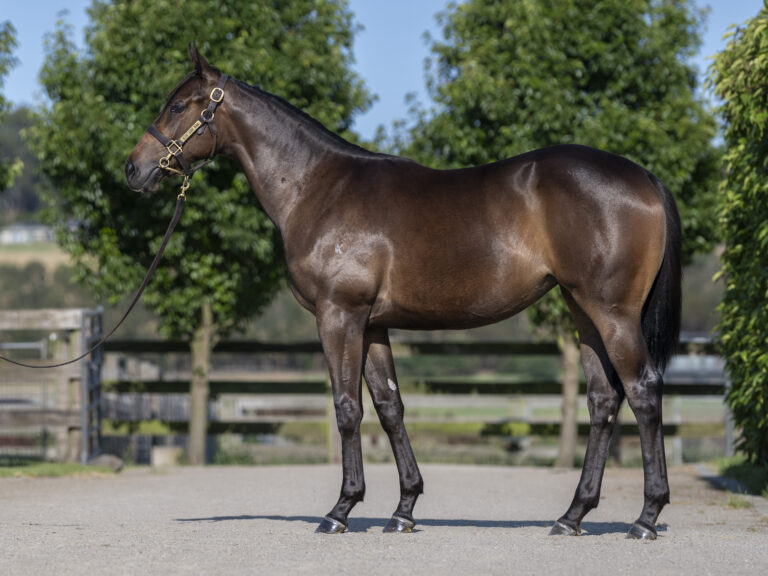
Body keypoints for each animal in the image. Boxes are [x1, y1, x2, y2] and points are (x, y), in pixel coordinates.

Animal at [123, 46, 680, 540]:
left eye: (178, 105)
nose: (133, 168)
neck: (316, 186)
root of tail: (645, 177)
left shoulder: (339, 315)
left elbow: (347, 407)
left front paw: (341, 509)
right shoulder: (373, 325)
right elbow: (390, 407)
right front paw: (404, 509)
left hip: (612, 313)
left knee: (643, 392)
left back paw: (646, 517)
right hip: (582, 312)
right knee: (603, 400)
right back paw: (572, 516)